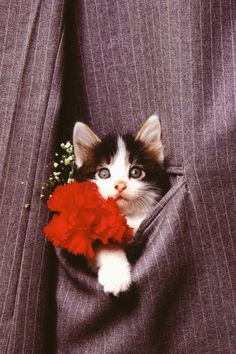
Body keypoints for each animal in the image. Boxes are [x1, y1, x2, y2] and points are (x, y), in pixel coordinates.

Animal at [73, 114, 167, 296]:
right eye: (103, 173)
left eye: (135, 172)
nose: (120, 185)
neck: (124, 214)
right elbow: (106, 245)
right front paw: (116, 277)